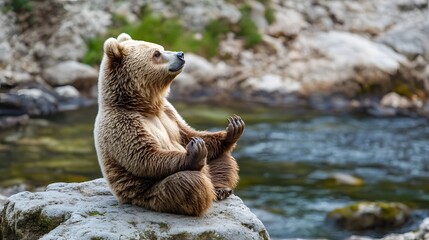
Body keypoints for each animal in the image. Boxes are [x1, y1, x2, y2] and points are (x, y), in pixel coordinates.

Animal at [94, 32, 244, 217]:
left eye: (161, 48)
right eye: (156, 53)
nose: (181, 54)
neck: (145, 106)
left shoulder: (169, 113)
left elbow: (188, 134)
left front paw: (233, 128)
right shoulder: (122, 123)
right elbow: (145, 157)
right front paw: (195, 152)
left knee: (224, 159)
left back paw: (221, 189)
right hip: (147, 194)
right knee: (188, 182)